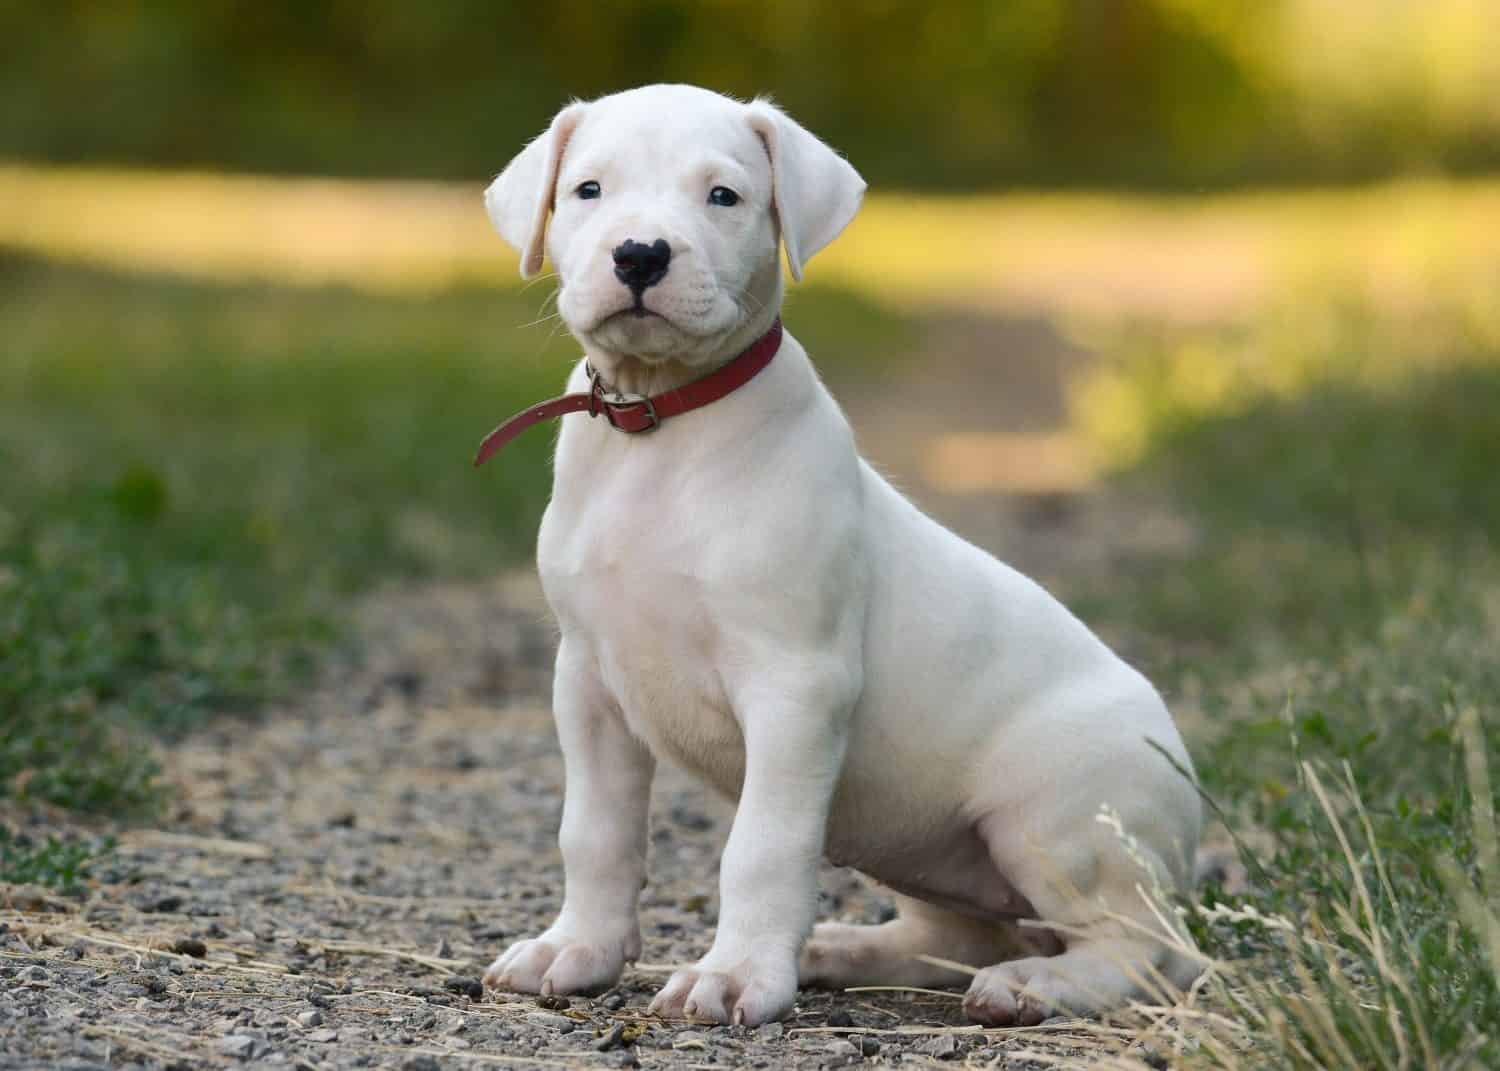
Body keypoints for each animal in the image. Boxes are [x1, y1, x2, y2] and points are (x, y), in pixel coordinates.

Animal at [480, 87, 1206, 1020]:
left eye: (724, 197)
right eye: (588, 190)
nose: (640, 254)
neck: (660, 427)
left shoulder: (795, 686)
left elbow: (762, 847)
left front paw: (734, 973)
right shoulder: (589, 683)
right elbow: (594, 834)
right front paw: (577, 948)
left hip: (1056, 817)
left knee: (1149, 949)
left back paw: (1037, 982)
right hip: (924, 841)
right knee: (961, 934)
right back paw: (841, 948)